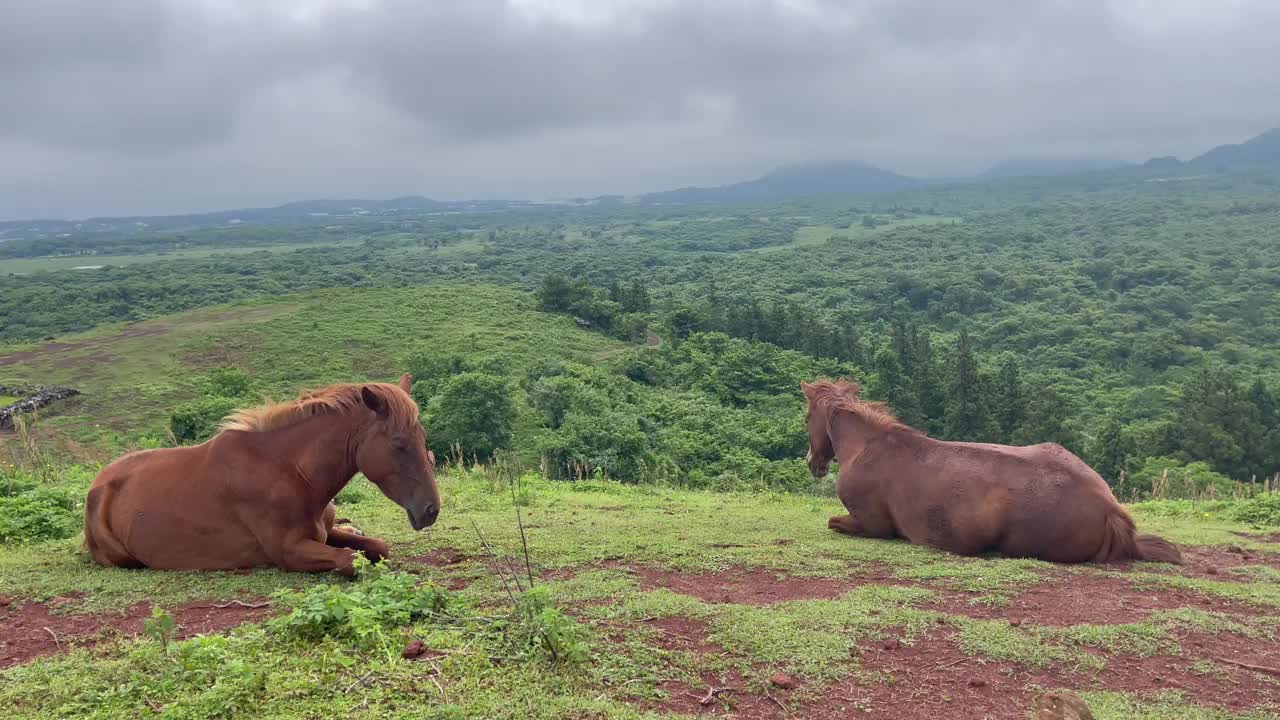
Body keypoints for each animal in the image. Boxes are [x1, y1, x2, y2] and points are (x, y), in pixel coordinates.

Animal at [86, 371, 440, 573]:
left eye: (423, 438)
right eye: (398, 444)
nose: (431, 510)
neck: (292, 474)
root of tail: (100, 484)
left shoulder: (324, 533)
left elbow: (378, 546)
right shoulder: (290, 552)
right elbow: (349, 561)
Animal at [803, 379, 1182, 563]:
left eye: (807, 418)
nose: (813, 464)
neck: (868, 446)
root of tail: (1110, 508)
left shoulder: (872, 526)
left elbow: (833, 522)